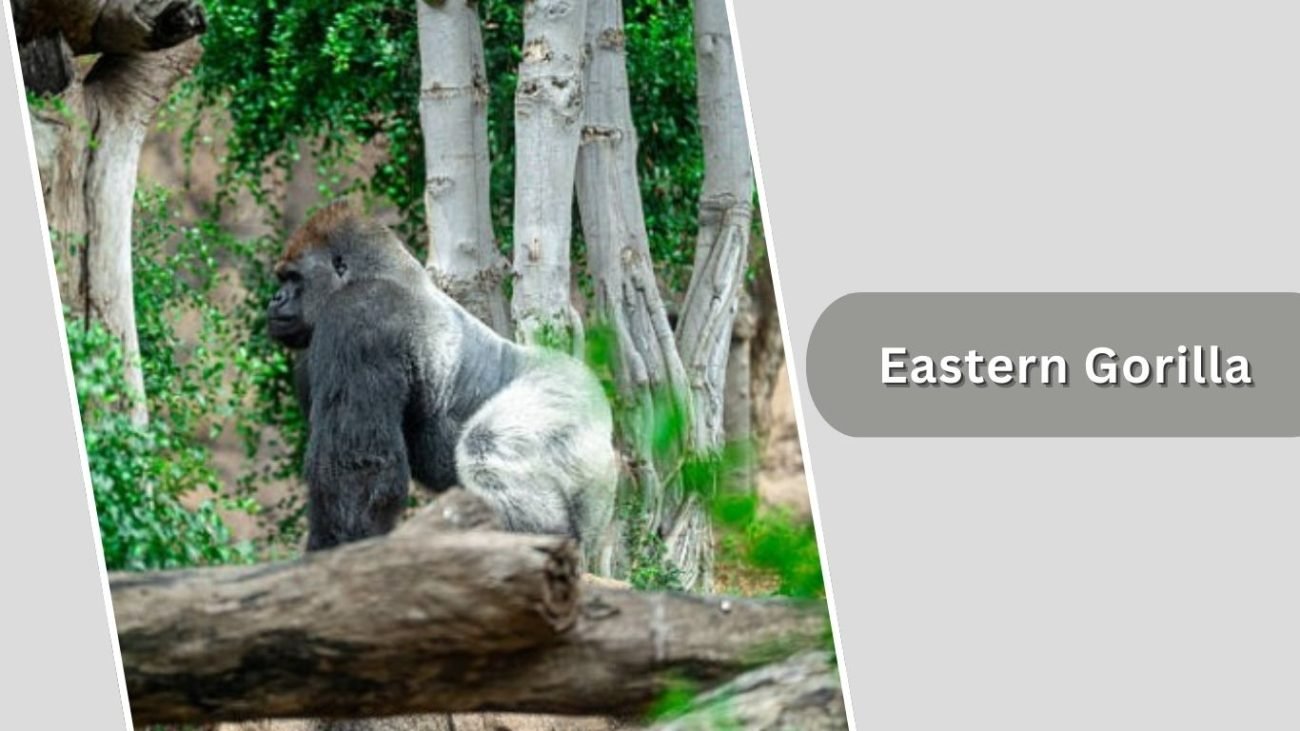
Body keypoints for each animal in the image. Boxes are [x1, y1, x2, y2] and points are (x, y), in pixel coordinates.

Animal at [266, 202, 618, 568]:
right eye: (282, 279)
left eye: (293, 278)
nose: (275, 299)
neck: (379, 273)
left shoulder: (358, 315)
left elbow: (357, 468)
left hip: (572, 401)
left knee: (485, 443)